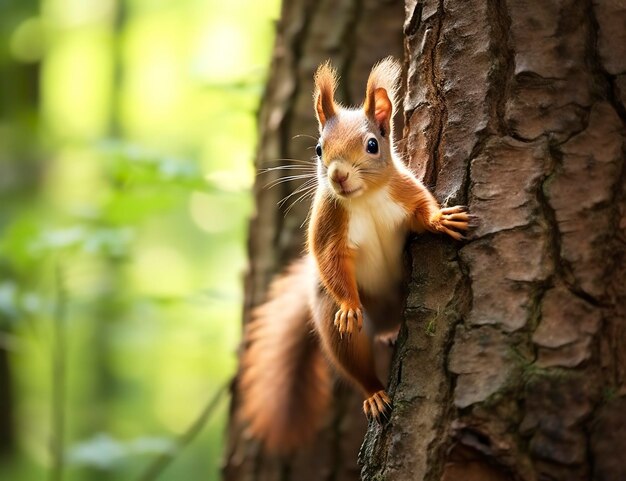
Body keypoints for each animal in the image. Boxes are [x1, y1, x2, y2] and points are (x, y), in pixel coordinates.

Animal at [239, 58, 468, 452]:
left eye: (373, 144)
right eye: (319, 148)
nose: (338, 176)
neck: (365, 198)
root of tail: (386, 321)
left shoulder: (406, 192)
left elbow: (423, 211)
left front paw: (440, 219)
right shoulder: (328, 225)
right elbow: (329, 262)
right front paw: (348, 305)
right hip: (338, 331)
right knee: (355, 362)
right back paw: (374, 392)